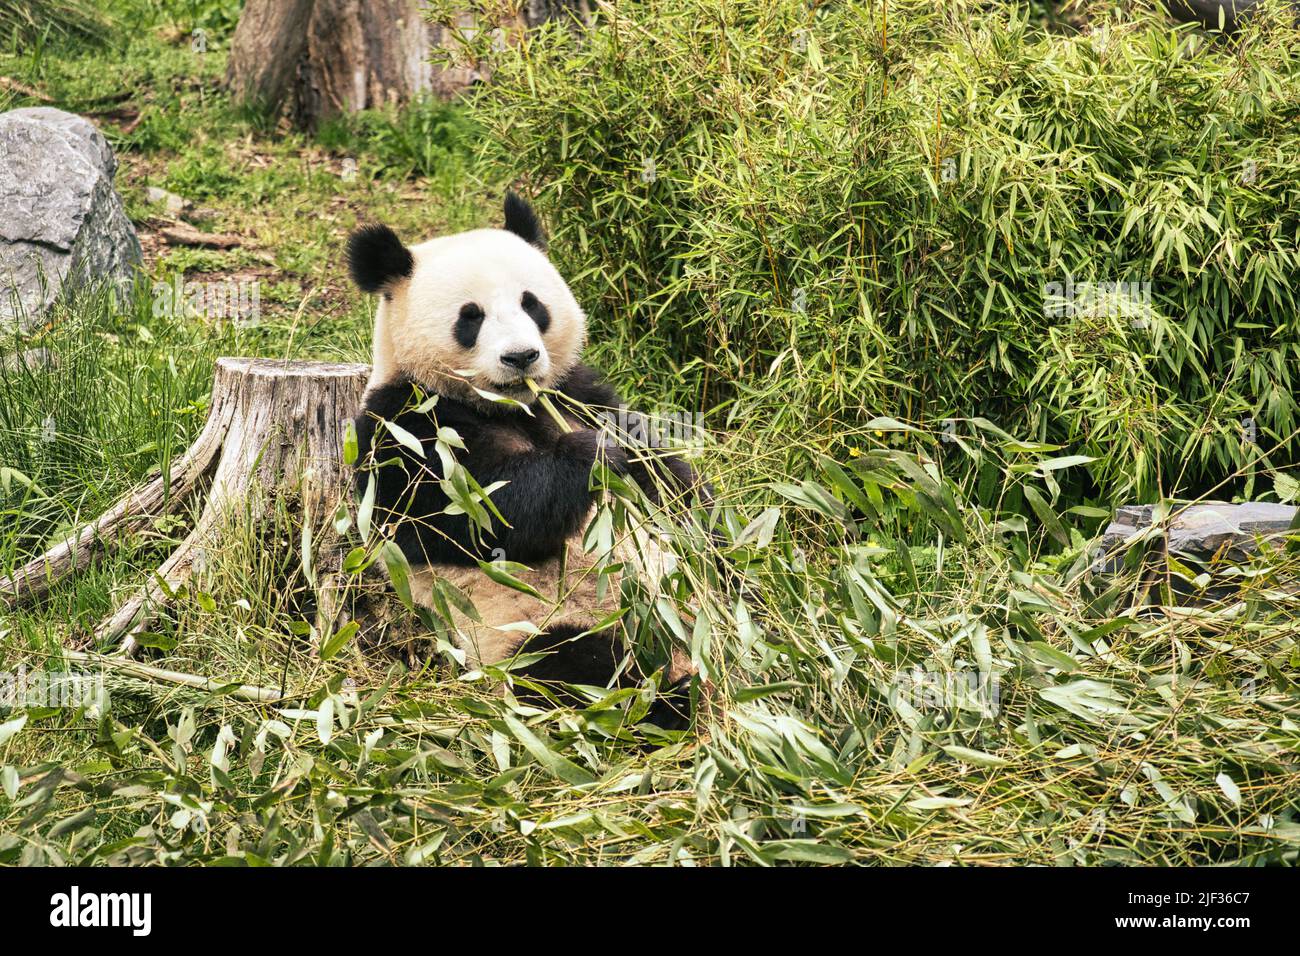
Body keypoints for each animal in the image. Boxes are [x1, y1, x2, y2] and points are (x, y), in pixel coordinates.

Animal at [348, 195, 702, 733]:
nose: (521, 357)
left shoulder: (577, 392)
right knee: (579, 669)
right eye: (470, 317)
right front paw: (591, 456)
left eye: (531, 303)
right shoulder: (407, 426)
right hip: (532, 630)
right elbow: (489, 517)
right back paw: (665, 699)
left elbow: (664, 476)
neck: (507, 407)